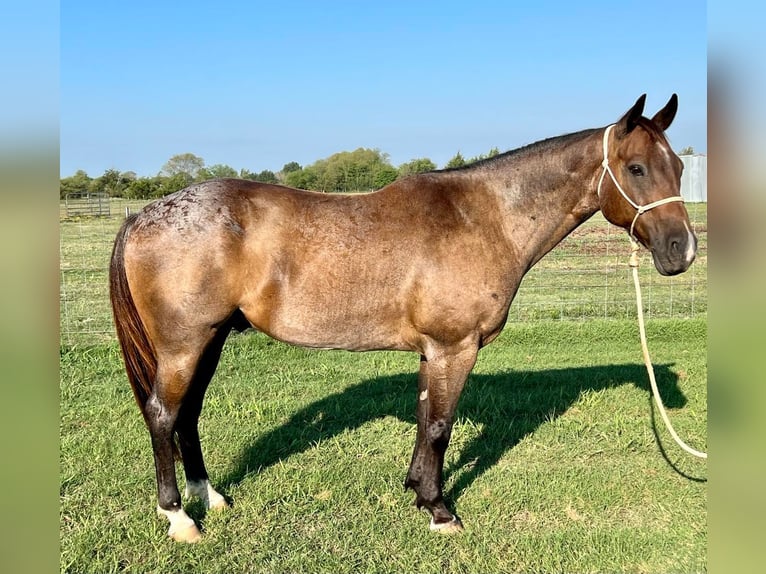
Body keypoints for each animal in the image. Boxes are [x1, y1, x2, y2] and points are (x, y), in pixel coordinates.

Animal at [111, 95, 700, 544]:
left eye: (679, 168)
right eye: (636, 168)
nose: (683, 251)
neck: (486, 217)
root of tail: (145, 215)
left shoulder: (430, 351)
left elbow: (424, 420)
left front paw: (417, 493)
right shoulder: (454, 347)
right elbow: (440, 425)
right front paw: (441, 511)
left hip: (209, 341)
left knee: (187, 415)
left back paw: (209, 496)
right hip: (185, 345)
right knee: (163, 414)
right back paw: (179, 518)